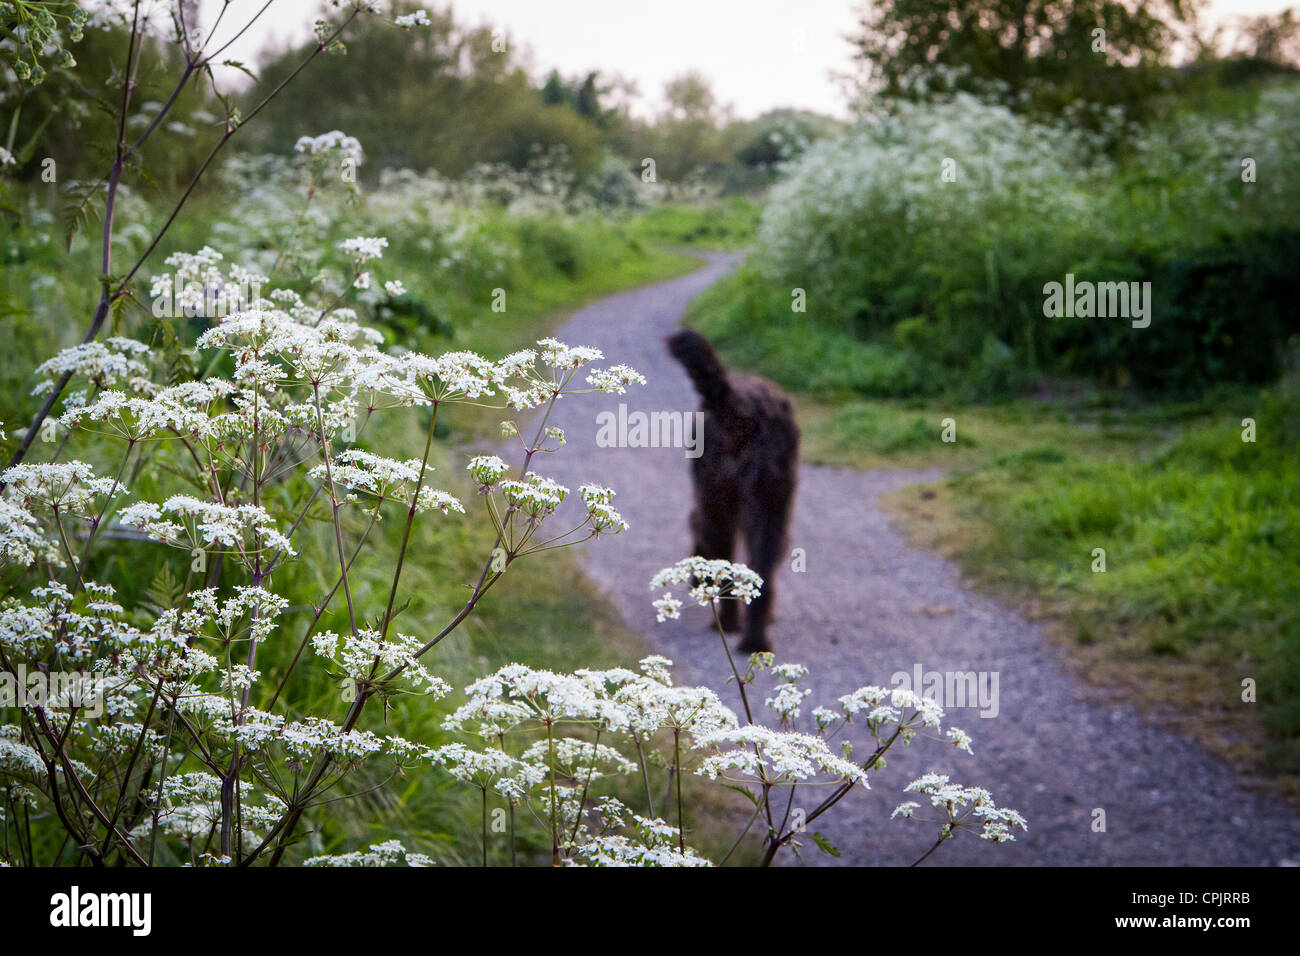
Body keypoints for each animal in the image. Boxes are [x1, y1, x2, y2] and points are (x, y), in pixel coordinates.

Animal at [665, 327, 795, 650]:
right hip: (772, 507)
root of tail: (737, 404)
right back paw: (755, 639)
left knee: (724, 566)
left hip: (719, 504)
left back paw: (728, 623)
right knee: (763, 568)